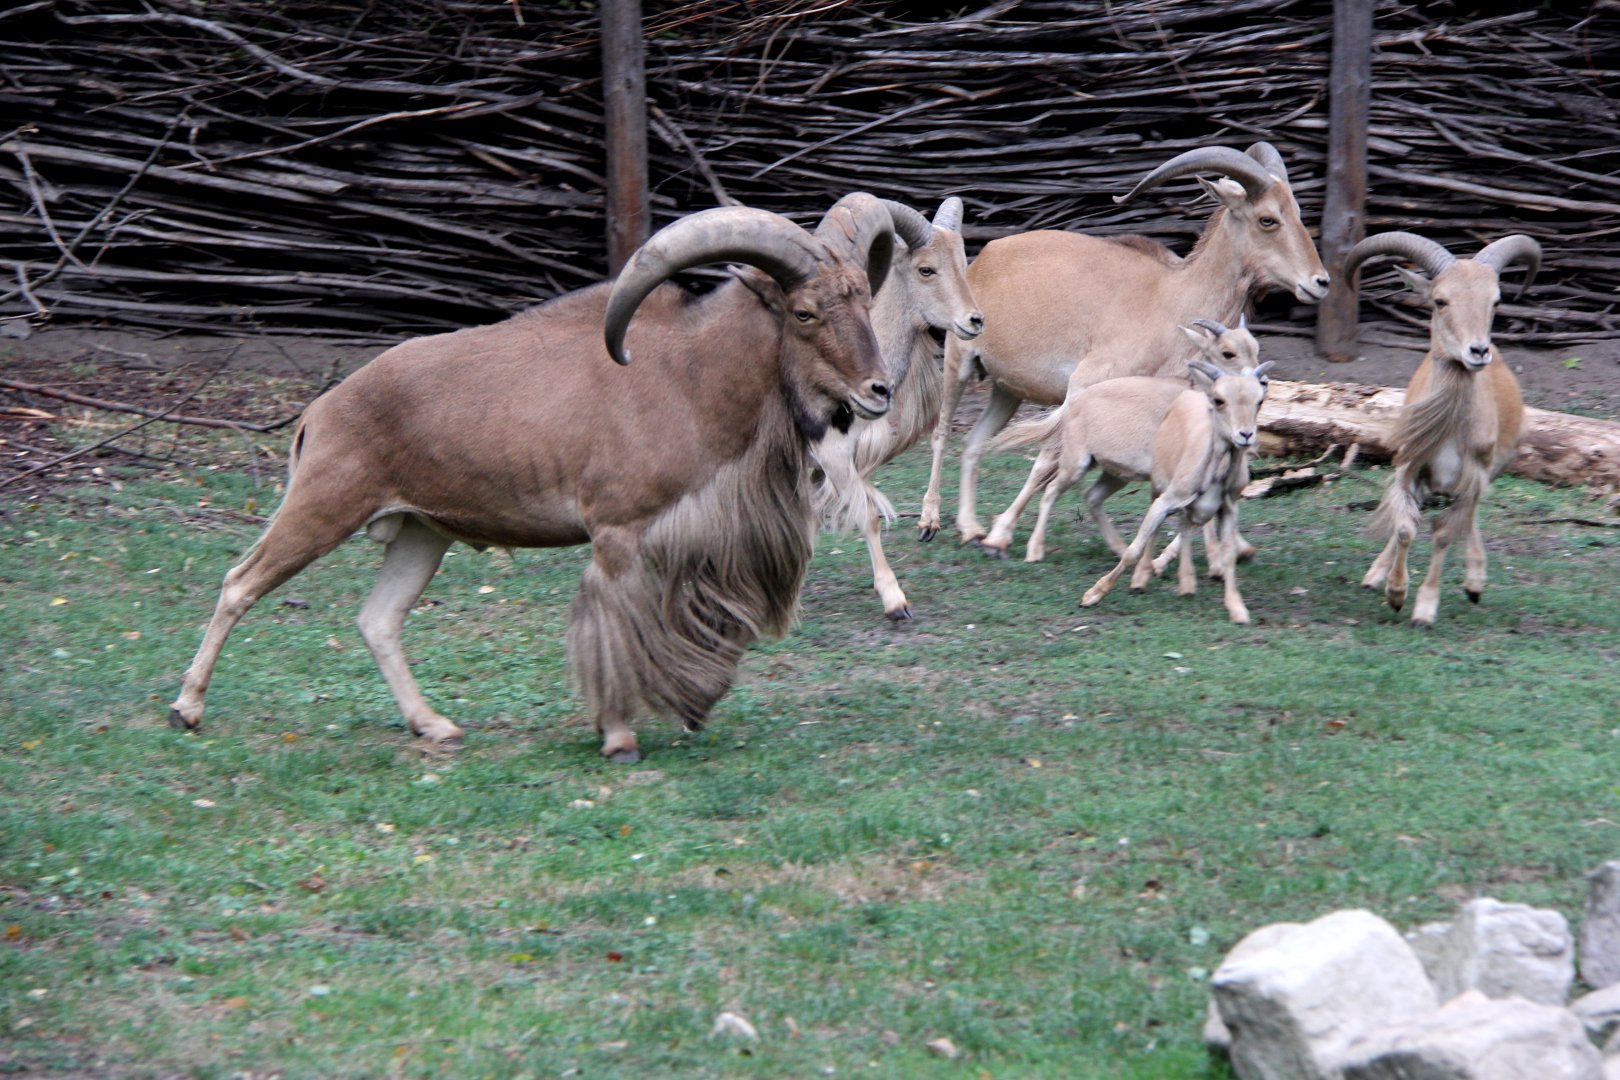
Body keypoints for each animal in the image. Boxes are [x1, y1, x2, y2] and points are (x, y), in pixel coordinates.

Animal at [167, 193, 902, 763]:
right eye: (804, 312)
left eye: (864, 301)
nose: (879, 390)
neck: (687, 376)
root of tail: (320, 412)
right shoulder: (618, 531)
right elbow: (615, 629)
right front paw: (618, 737)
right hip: (321, 509)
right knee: (239, 584)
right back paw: (187, 708)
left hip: (420, 535)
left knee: (378, 620)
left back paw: (434, 725)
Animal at [812, 196, 982, 620]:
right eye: (926, 269)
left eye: (963, 262)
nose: (975, 321)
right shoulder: (829, 452)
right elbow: (867, 514)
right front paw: (895, 601)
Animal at [980, 317, 1260, 565]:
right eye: (1227, 353)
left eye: (1255, 347)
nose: (1261, 381)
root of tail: (1075, 402)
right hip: (1078, 462)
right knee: (1050, 488)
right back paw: (1032, 549)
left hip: (1115, 472)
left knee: (1088, 495)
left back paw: (1120, 549)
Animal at [1066, 358, 1274, 624]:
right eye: (1219, 400)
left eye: (1259, 401)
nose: (1246, 435)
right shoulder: (1165, 501)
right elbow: (1134, 549)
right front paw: (1093, 594)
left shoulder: (1228, 509)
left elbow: (1226, 555)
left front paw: (1237, 608)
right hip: (1156, 488)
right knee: (1158, 531)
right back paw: (1142, 579)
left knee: (1185, 527)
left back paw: (1186, 583)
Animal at [1345, 231, 1542, 627]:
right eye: (1440, 300)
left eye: (1495, 301)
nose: (1478, 351)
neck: (1451, 430)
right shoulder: (1409, 466)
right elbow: (1406, 525)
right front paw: (1394, 592)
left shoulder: (1473, 476)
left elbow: (1444, 533)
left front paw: (1424, 608)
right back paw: (1375, 575)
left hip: (1494, 467)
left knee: (1468, 517)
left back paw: (1475, 582)